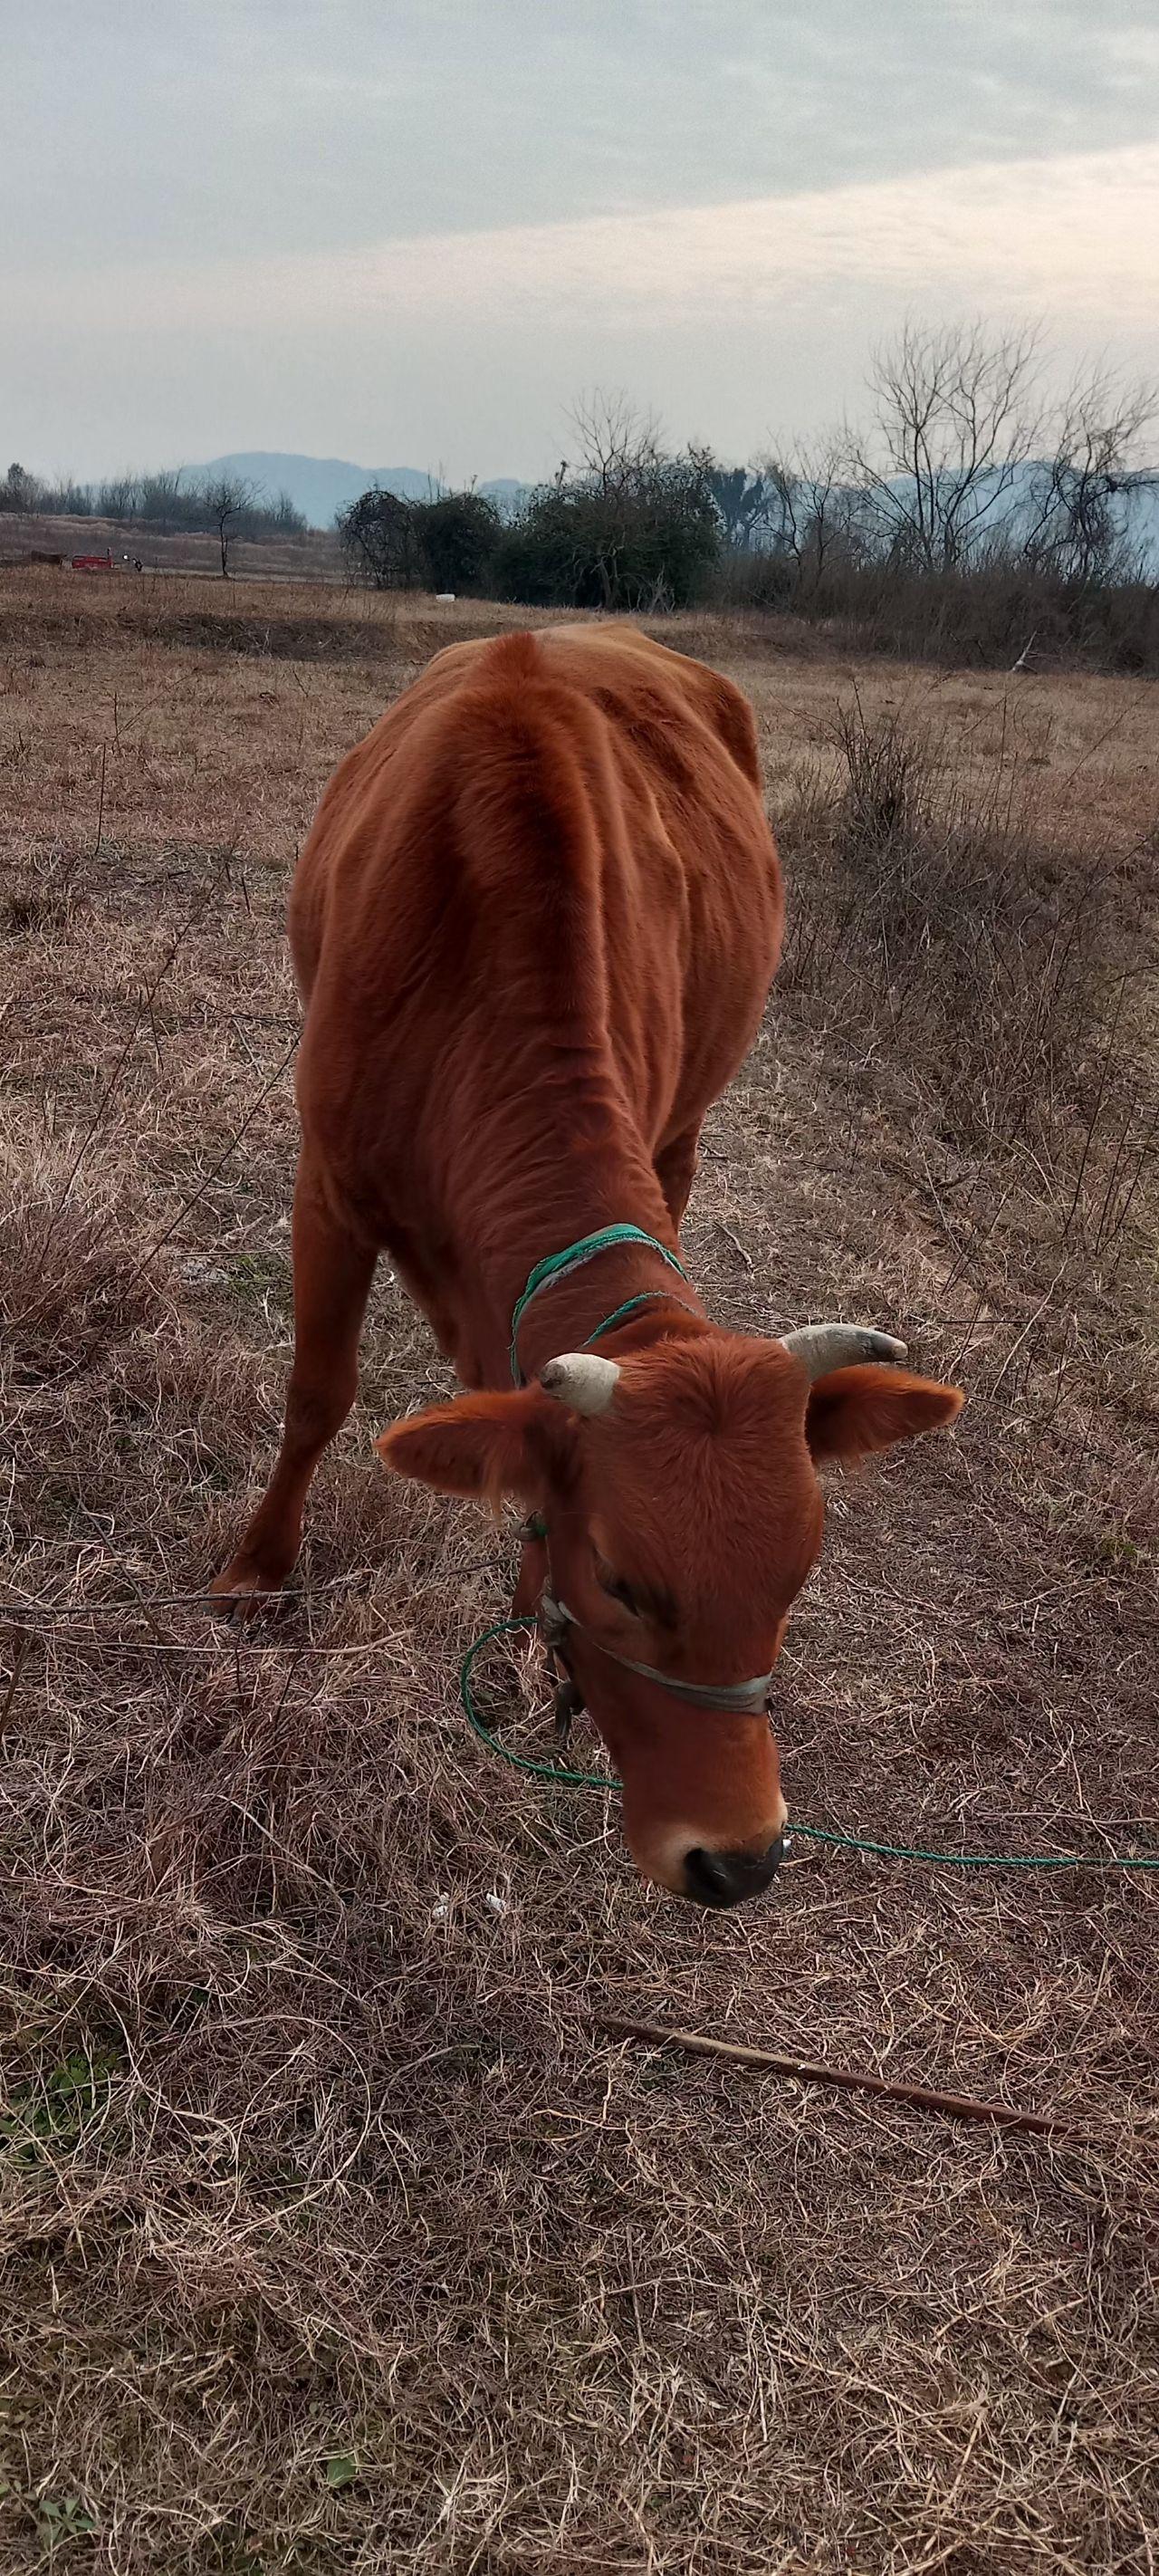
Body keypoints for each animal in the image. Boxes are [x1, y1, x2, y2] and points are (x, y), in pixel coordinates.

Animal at [215, 630, 958, 1906]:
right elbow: (318, 1394)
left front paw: (520, 1632)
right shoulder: (329, 1186)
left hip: (689, 1125)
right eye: (619, 1579)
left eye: (796, 1578)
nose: (740, 1857)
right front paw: (259, 1573)